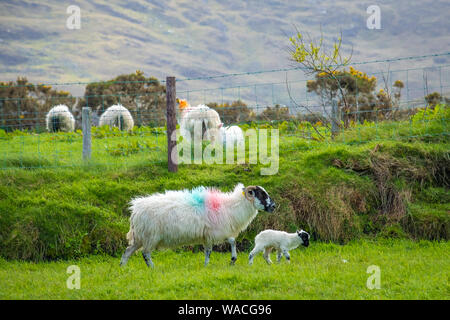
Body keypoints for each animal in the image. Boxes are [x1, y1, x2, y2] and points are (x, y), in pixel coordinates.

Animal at [118, 182, 276, 268]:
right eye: (261, 194)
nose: (274, 206)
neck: (230, 207)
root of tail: (135, 210)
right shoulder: (215, 232)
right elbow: (229, 242)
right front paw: (231, 259)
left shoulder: (209, 235)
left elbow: (211, 250)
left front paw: (209, 265)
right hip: (150, 236)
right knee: (145, 253)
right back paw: (152, 267)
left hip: (140, 237)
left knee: (128, 251)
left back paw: (123, 267)